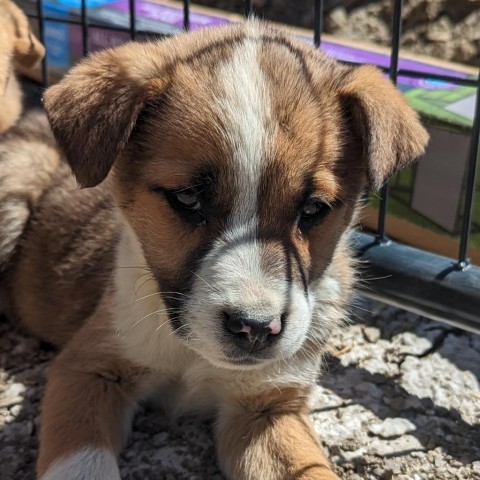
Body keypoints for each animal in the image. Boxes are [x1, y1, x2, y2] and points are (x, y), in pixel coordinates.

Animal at [0, 19, 428, 480]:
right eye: (187, 198)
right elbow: (83, 464)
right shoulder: (88, 369)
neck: (190, 354)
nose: (254, 329)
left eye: (313, 209)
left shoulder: (268, 408)